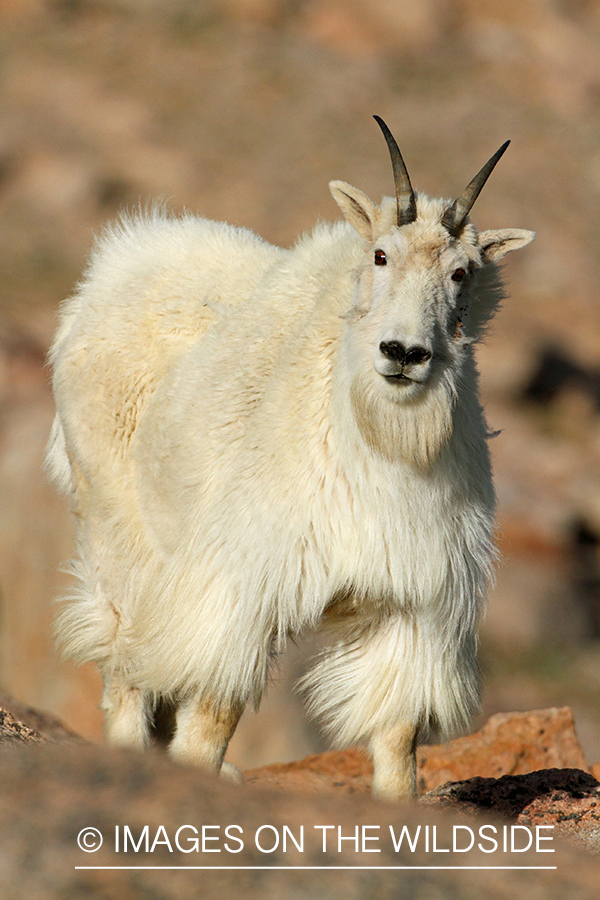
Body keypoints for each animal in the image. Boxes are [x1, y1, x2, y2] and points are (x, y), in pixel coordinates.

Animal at [45, 116, 536, 800]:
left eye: (462, 271)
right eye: (380, 255)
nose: (403, 354)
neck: (382, 444)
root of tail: (114, 265)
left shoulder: (414, 603)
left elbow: (398, 737)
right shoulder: (245, 584)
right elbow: (212, 718)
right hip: (117, 527)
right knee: (123, 663)